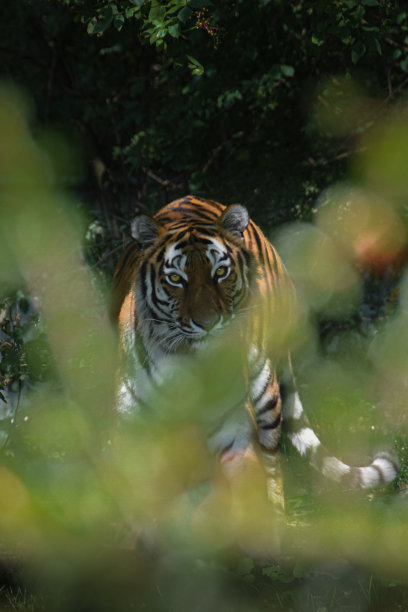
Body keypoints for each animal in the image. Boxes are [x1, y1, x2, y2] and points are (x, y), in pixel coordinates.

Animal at [109, 194, 398, 520]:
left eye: (220, 272)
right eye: (175, 278)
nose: (208, 323)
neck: (187, 362)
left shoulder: (234, 432)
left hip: (266, 392)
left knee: (272, 464)